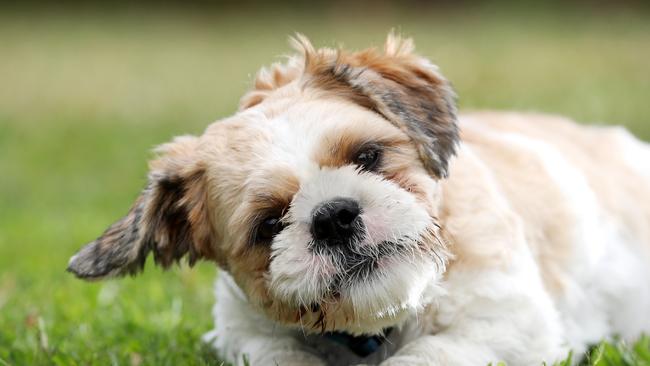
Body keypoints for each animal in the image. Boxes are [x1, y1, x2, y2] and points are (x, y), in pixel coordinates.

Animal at [67, 33, 648, 364]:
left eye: (367, 156)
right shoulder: (247, 336)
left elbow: (429, 354)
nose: (334, 216)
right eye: (268, 224)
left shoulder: (507, 320)